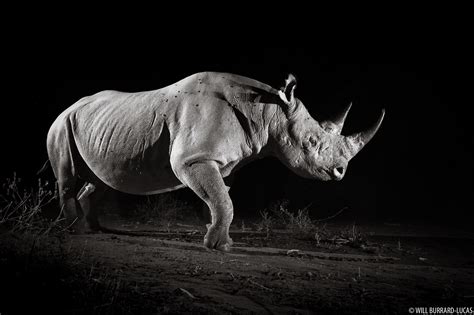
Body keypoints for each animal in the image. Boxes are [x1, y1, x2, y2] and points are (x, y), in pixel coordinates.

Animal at [46, 71, 384, 252]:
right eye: (312, 142)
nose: (339, 171)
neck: (269, 110)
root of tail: (67, 107)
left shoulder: (222, 164)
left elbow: (220, 197)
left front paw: (213, 234)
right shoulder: (193, 159)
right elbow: (223, 199)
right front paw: (220, 247)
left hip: (97, 124)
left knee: (101, 178)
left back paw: (95, 229)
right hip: (61, 125)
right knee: (67, 175)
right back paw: (75, 231)